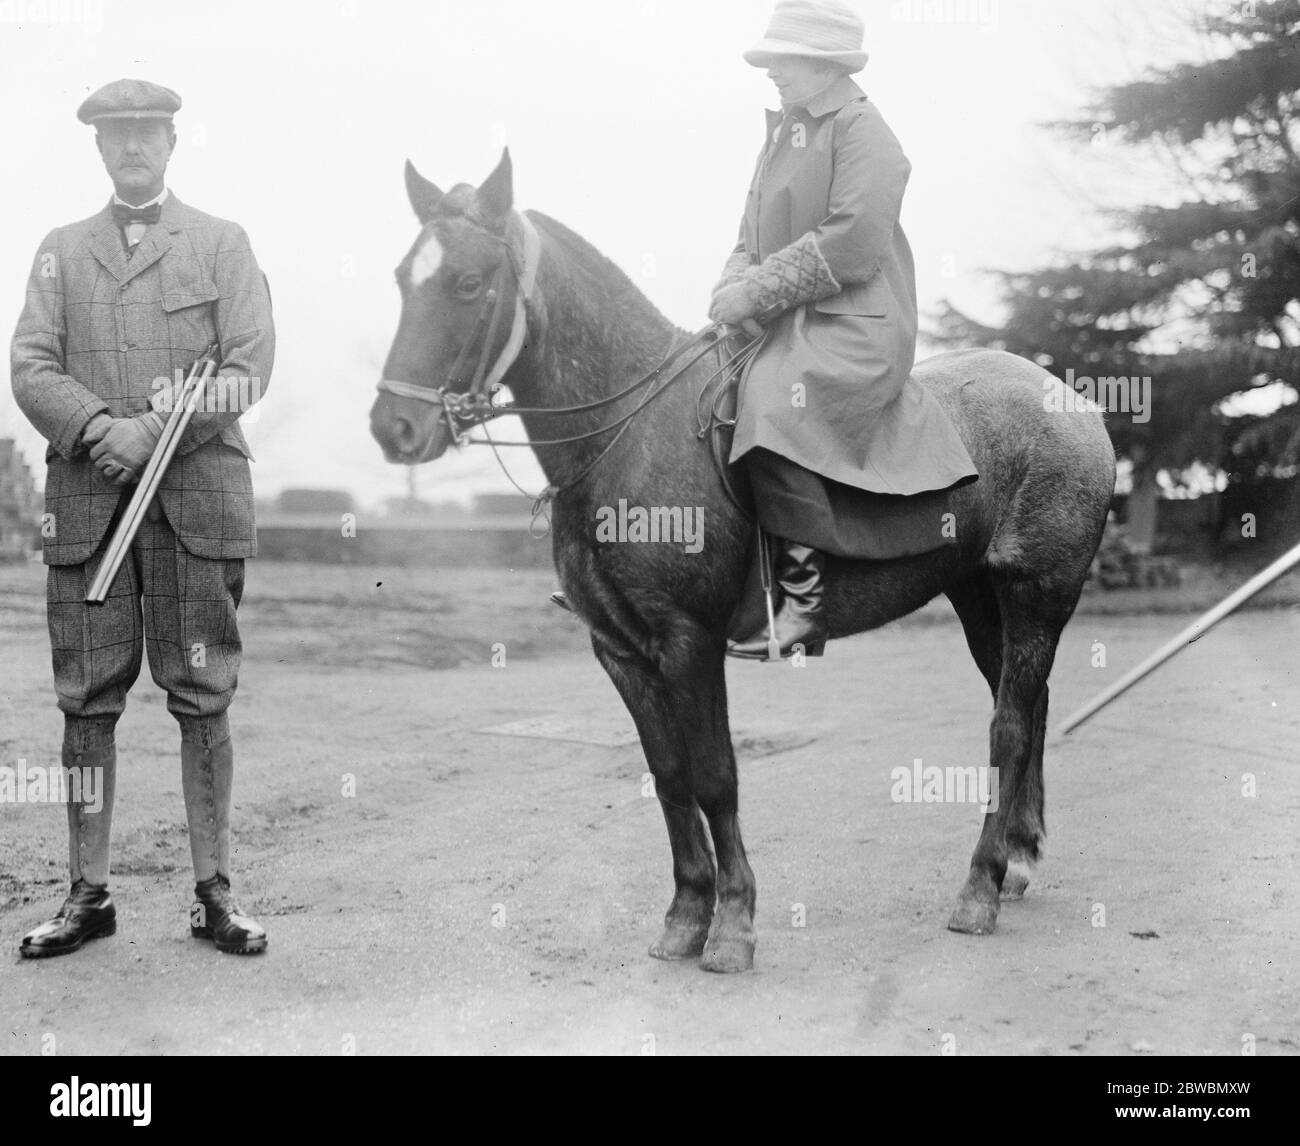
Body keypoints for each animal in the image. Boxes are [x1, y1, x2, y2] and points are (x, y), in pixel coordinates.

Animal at [369, 149, 1118, 971]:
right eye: (404, 278)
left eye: (469, 283)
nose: (393, 427)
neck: (630, 431)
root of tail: (1069, 398)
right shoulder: (621, 652)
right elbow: (669, 776)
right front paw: (687, 912)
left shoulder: (689, 643)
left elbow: (715, 774)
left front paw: (732, 922)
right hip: (980, 597)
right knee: (1027, 708)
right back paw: (1017, 856)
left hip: (1037, 593)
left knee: (1009, 726)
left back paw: (980, 885)